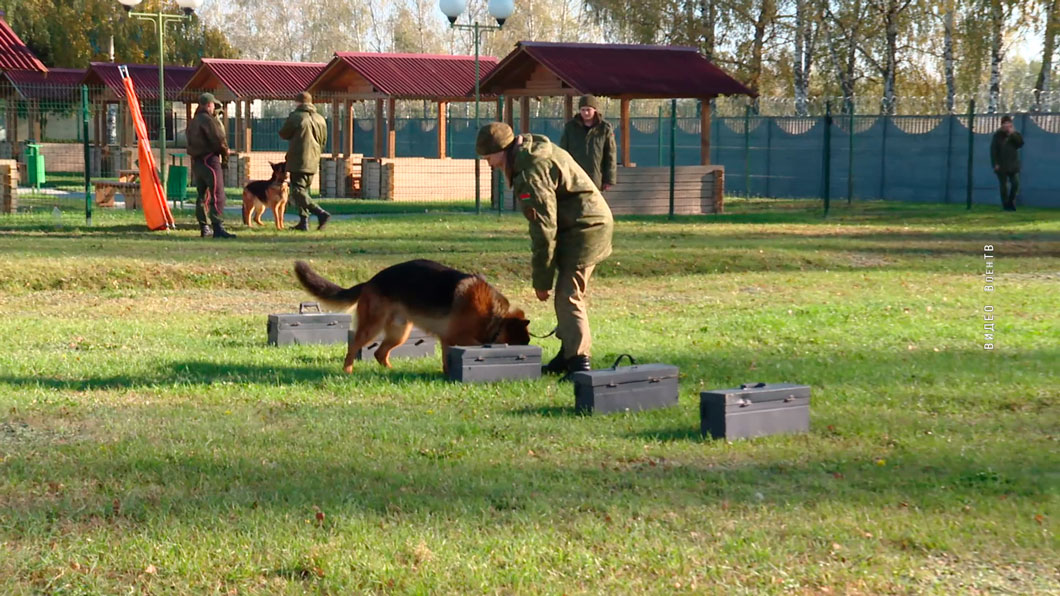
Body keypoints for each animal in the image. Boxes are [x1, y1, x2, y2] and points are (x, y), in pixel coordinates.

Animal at [294, 258, 530, 371]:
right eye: (524, 342)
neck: (496, 318)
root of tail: (371, 281)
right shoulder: (453, 338)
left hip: (399, 333)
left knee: (380, 353)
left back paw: (390, 371)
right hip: (372, 328)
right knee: (353, 348)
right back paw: (347, 370)